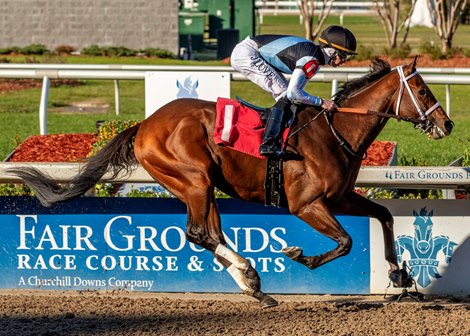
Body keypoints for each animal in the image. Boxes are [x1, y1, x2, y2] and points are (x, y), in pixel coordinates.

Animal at [9, 57, 454, 308]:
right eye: (420, 88)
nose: (447, 124)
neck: (335, 130)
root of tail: (145, 125)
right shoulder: (306, 204)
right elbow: (344, 242)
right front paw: (299, 256)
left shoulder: (341, 198)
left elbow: (385, 216)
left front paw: (400, 276)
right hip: (194, 179)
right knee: (198, 233)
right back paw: (251, 274)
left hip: (201, 187)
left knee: (209, 233)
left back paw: (254, 286)